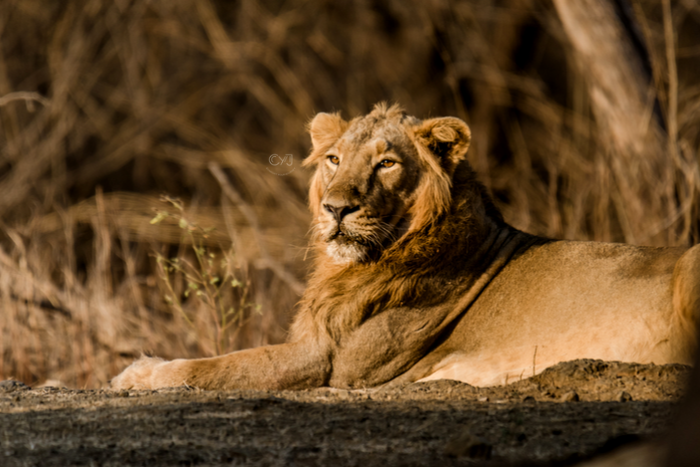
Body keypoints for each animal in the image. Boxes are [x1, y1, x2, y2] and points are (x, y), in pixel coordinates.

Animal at [110, 103, 700, 392]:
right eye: (333, 160)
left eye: (387, 163)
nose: (336, 209)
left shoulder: (334, 364)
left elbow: (221, 365)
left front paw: (138, 373)